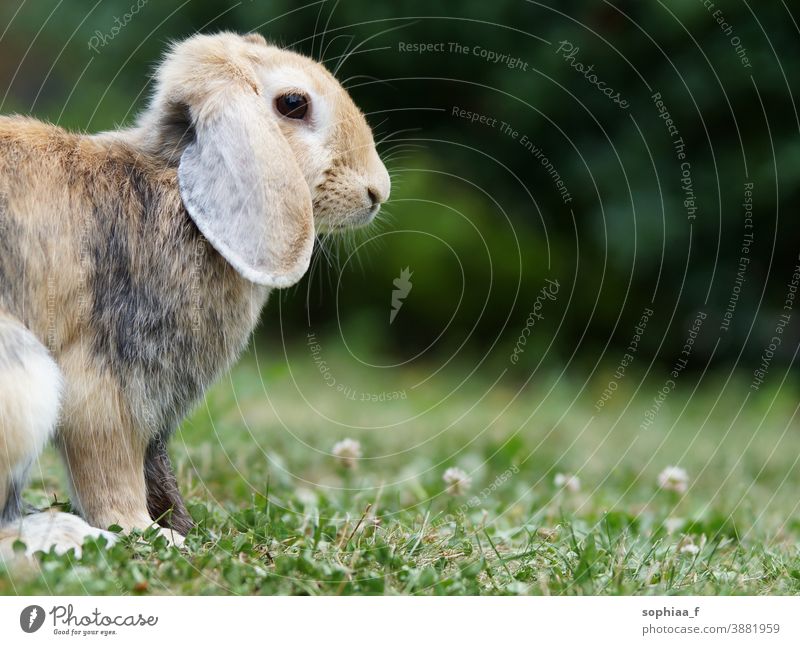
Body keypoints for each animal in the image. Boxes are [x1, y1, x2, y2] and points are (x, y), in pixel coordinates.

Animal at [0, 31, 390, 560]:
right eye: (293, 103)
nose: (377, 191)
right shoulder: (106, 386)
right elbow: (112, 475)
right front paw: (150, 534)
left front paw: (179, 528)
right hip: (24, 380)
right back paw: (65, 536)